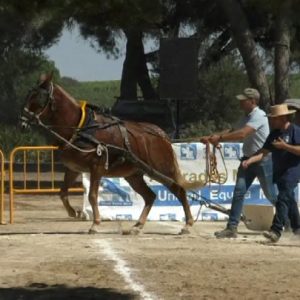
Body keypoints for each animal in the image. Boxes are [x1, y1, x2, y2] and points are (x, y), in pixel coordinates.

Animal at [20, 74, 204, 233]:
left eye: (38, 97)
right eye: (28, 94)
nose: (22, 123)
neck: (81, 127)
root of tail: (161, 135)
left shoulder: (97, 167)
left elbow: (93, 195)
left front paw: (95, 223)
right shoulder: (73, 168)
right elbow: (63, 192)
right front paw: (75, 212)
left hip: (161, 170)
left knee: (179, 190)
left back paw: (187, 224)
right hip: (134, 175)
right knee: (150, 196)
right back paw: (137, 226)